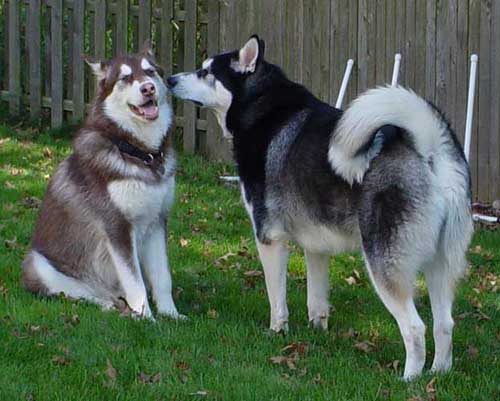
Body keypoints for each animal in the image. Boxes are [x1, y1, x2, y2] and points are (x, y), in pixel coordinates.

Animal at [23, 47, 184, 318]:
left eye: (150, 71)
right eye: (125, 78)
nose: (148, 88)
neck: (140, 153)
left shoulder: (157, 221)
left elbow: (163, 278)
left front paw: (171, 315)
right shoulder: (117, 227)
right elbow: (136, 282)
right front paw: (146, 318)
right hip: (36, 262)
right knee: (79, 295)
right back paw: (108, 305)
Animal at [167, 35, 472, 378]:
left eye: (206, 72)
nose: (170, 79)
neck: (261, 107)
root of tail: (428, 150)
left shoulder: (269, 237)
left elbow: (277, 298)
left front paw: (277, 332)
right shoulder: (316, 245)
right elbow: (317, 299)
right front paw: (317, 332)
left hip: (384, 263)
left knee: (416, 328)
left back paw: (409, 379)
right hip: (440, 264)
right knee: (445, 323)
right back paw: (438, 373)